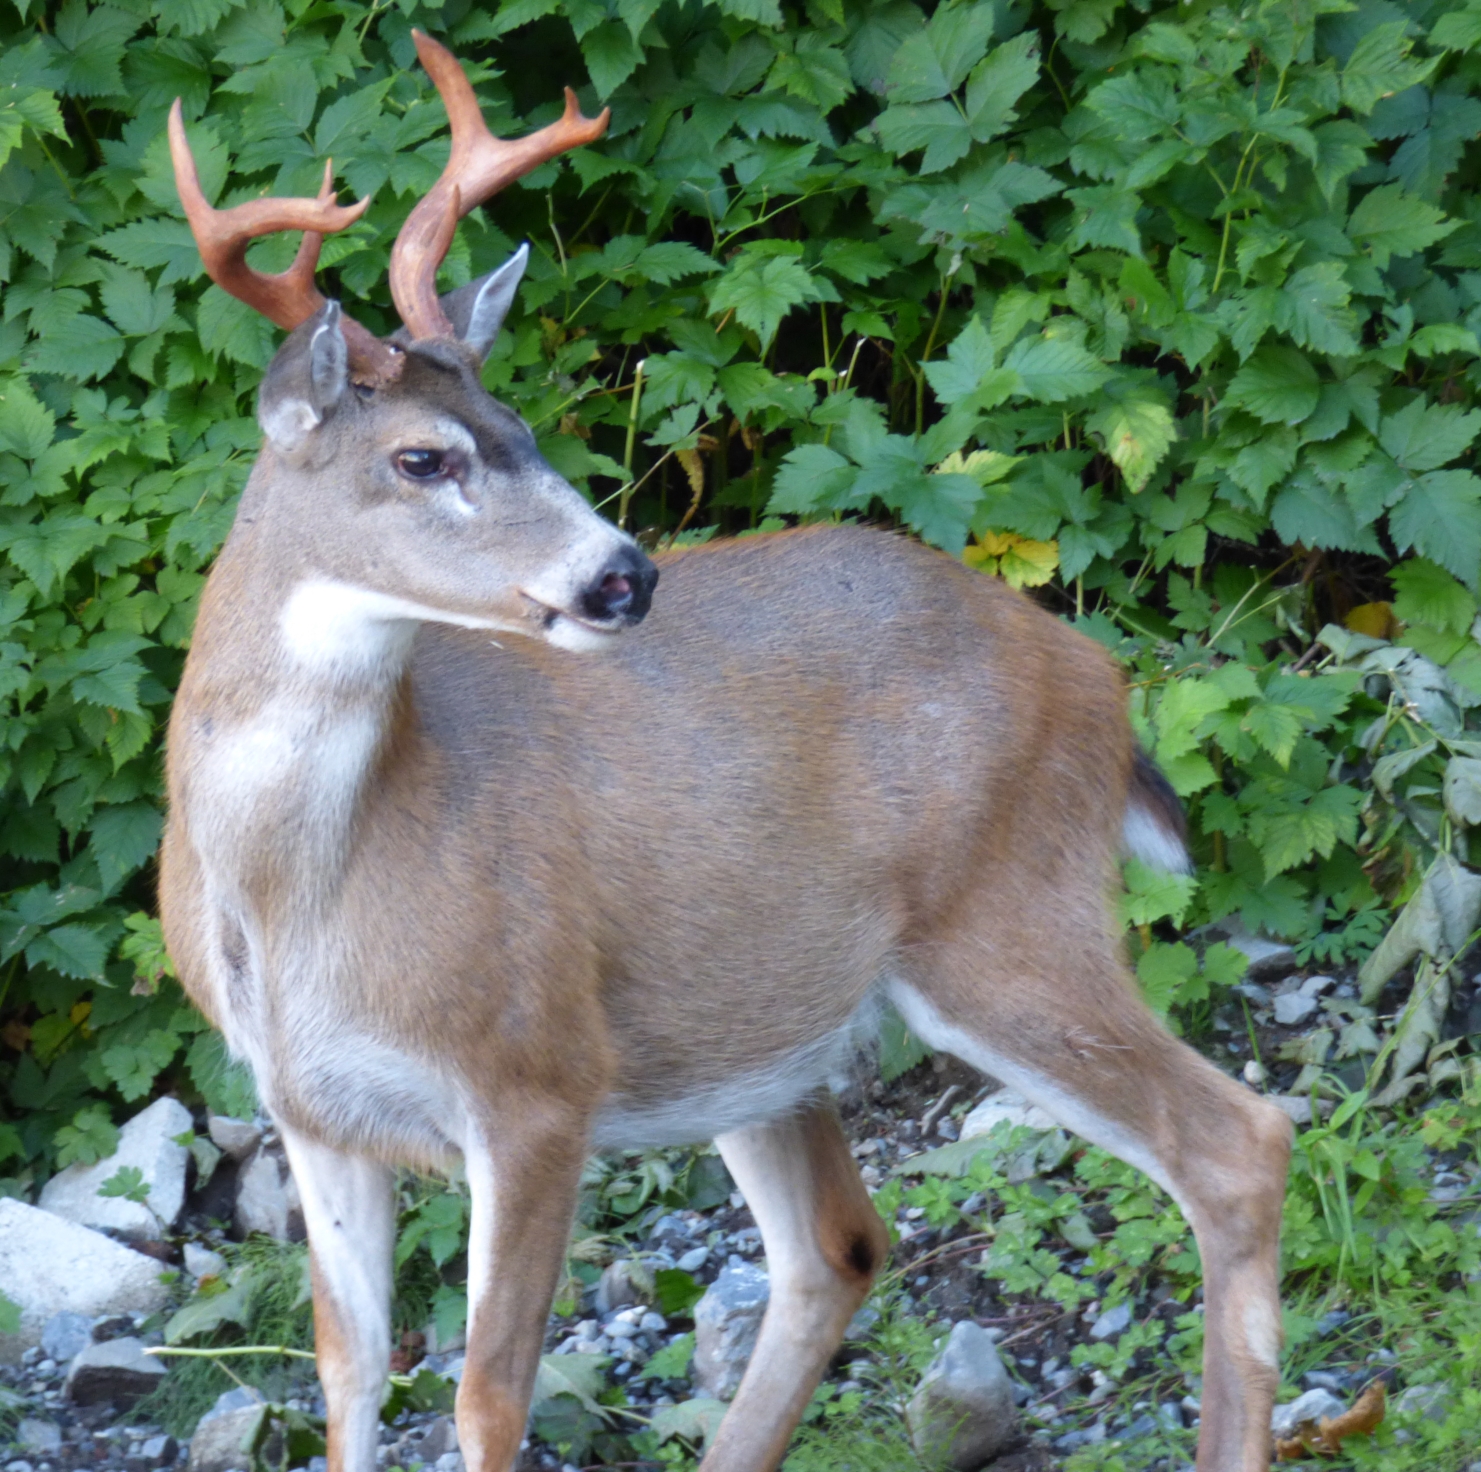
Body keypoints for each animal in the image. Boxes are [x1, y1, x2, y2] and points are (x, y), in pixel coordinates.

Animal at [162, 28, 1291, 1469]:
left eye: (522, 431)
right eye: (422, 456)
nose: (622, 574)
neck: (302, 889)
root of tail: (1093, 674)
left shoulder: (537, 1070)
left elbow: (485, 1389)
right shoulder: (311, 1108)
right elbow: (347, 1367)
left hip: (1005, 916)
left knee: (1236, 1141)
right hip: (755, 1018)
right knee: (837, 1243)